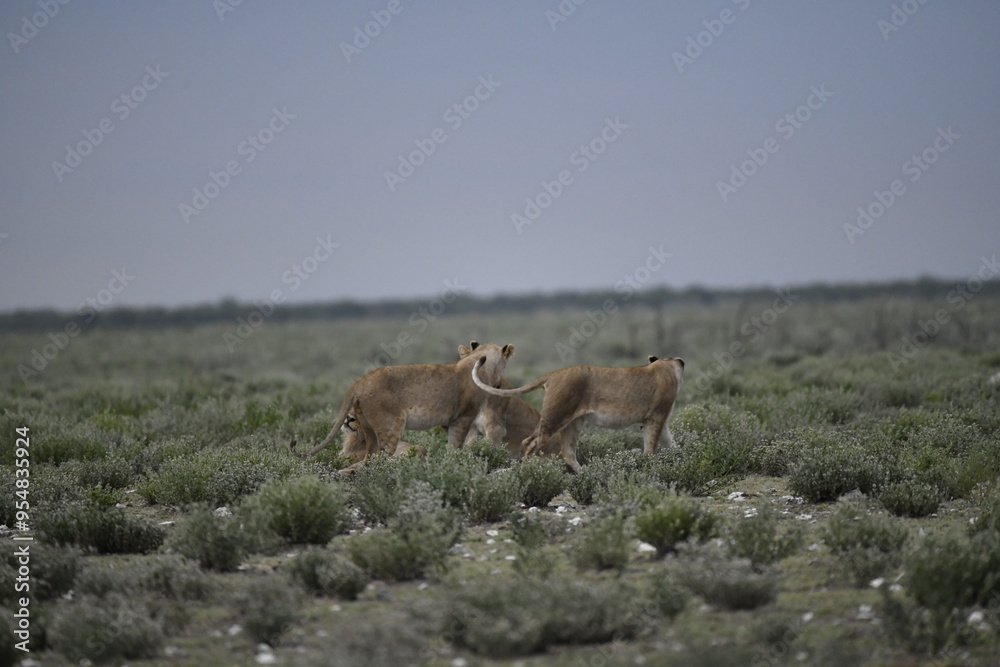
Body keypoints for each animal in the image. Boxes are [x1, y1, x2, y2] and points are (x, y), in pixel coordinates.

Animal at [288, 340, 514, 460]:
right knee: (381, 457)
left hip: (368, 428)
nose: (499, 386)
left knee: (368, 457)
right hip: (390, 425)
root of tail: (360, 381)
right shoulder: (463, 417)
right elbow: (456, 445)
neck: (478, 365)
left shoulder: (447, 421)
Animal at [472, 355, 685, 472]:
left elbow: (671, 443)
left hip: (573, 422)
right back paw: (529, 469)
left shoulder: (660, 420)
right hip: (556, 416)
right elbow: (651, 448)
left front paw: (683, 457)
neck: (667, 365)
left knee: (567, 452)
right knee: (529, 442)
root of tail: (554, 373)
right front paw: (652, 467)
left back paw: (587, 475)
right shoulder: (656, 416)